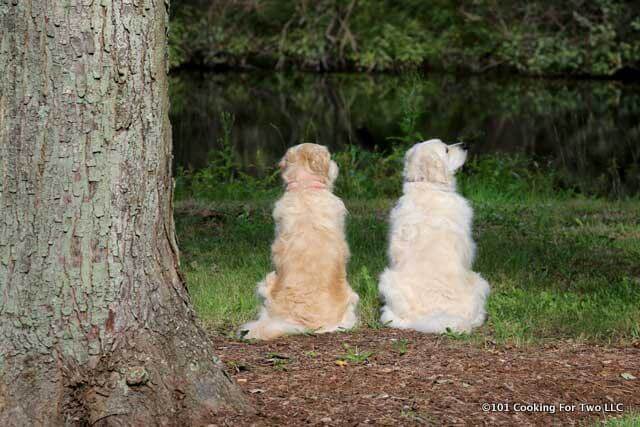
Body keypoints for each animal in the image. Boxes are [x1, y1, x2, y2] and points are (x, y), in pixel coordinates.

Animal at [380, 140, 490, 334]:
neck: (427, 185)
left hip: (387, 281)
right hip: (480, 281)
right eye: (446, 149)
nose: (465, 145)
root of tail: (435, 314)